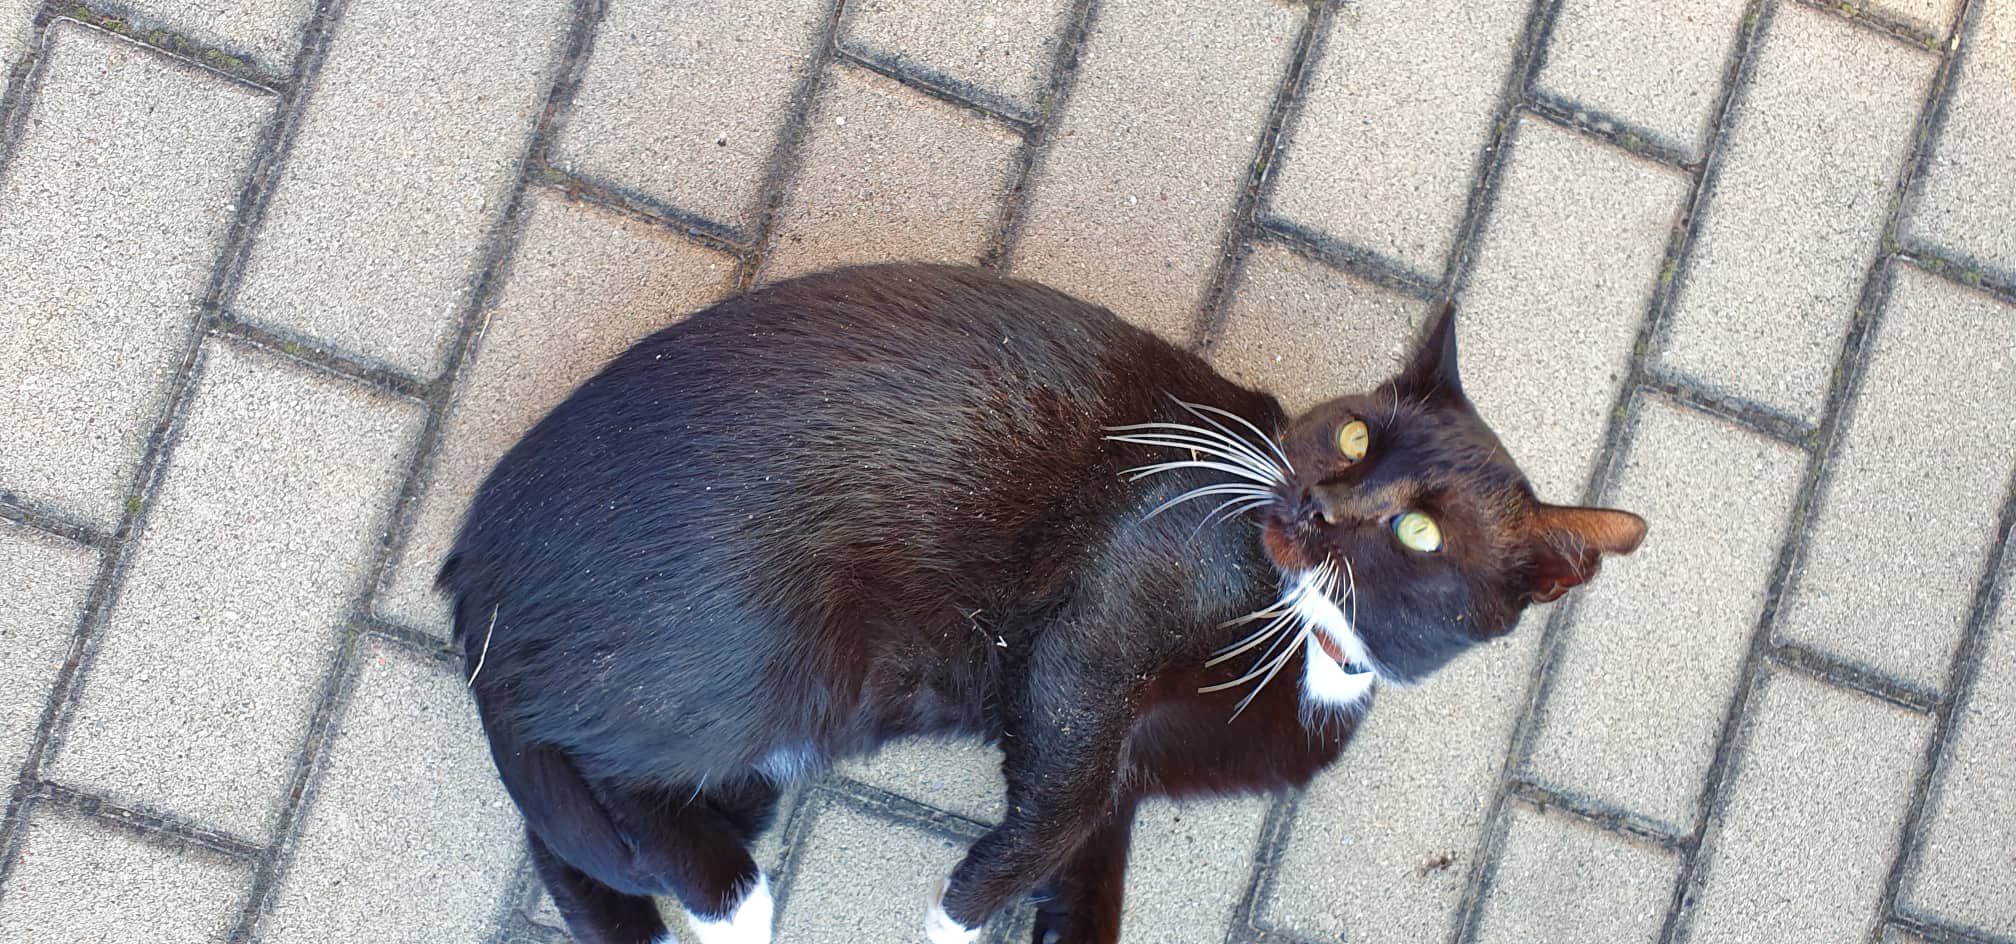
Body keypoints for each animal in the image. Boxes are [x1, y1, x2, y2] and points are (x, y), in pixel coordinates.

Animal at [438, 263, 1645, 944]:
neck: (1312, 644)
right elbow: (1058, 791)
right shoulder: (1106, 626)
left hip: (753, 757)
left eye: (1420, 530)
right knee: (586, 768)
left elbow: (1087, 880)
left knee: (579, 827)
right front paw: (957, 913)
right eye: (1354, 434)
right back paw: (732, 902)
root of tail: (475, 572)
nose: (1316, 498)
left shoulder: (1122, 795)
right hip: (765, 665)